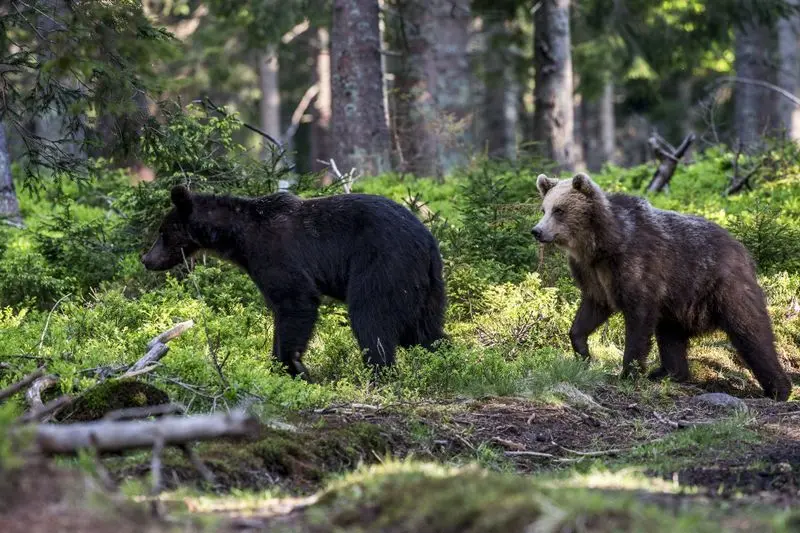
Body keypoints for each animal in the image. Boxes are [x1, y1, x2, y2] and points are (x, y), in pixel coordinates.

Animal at [141, 185, 446, 380]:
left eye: (163, 232)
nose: (146, 259)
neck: (239, 238)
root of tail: (427, 240)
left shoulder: (276, 255)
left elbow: (295, 301)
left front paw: (292, 365)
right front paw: (280, 365)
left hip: (382, 264)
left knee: (372, 318)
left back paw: (379, 373)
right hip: (425, 284)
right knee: (424, 328)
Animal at [536, 172, 792, 402]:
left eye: (559, 210)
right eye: (543, 209)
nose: (537, 231)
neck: (601, 245)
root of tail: (742, 249)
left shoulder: (636, 265)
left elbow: (638, 320)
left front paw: (628, 371)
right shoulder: (594, 275)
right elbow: (592, 309)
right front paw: (584, 352)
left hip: (720, 286)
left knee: (751, 331)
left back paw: (779, 389)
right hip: (677, 303)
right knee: (670, 336)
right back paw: (668, 372)